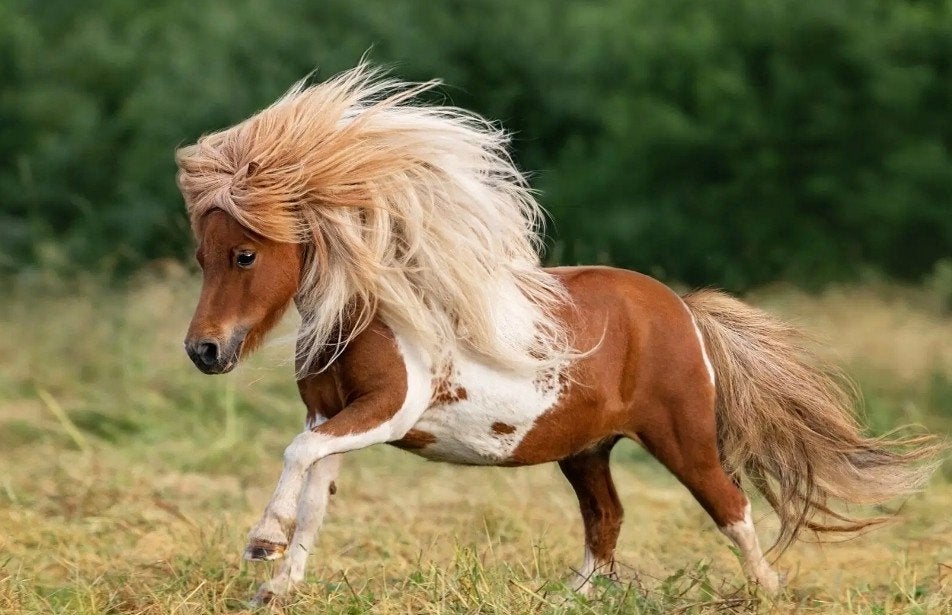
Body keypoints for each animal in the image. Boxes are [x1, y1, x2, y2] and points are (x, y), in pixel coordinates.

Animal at [176, 64, 940, 605]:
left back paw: (767, 592)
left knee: (731, 506)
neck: (371, 313)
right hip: (587, 449)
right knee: (607, 522)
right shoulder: (332, 416)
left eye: (243, 255)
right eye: (201, 255)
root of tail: (683, 310)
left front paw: (261, 545)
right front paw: (276, 581)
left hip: (682, 436)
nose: (204, 351)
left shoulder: (385, 410)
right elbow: (312, 494)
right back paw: (564, 597)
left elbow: (297, 457)